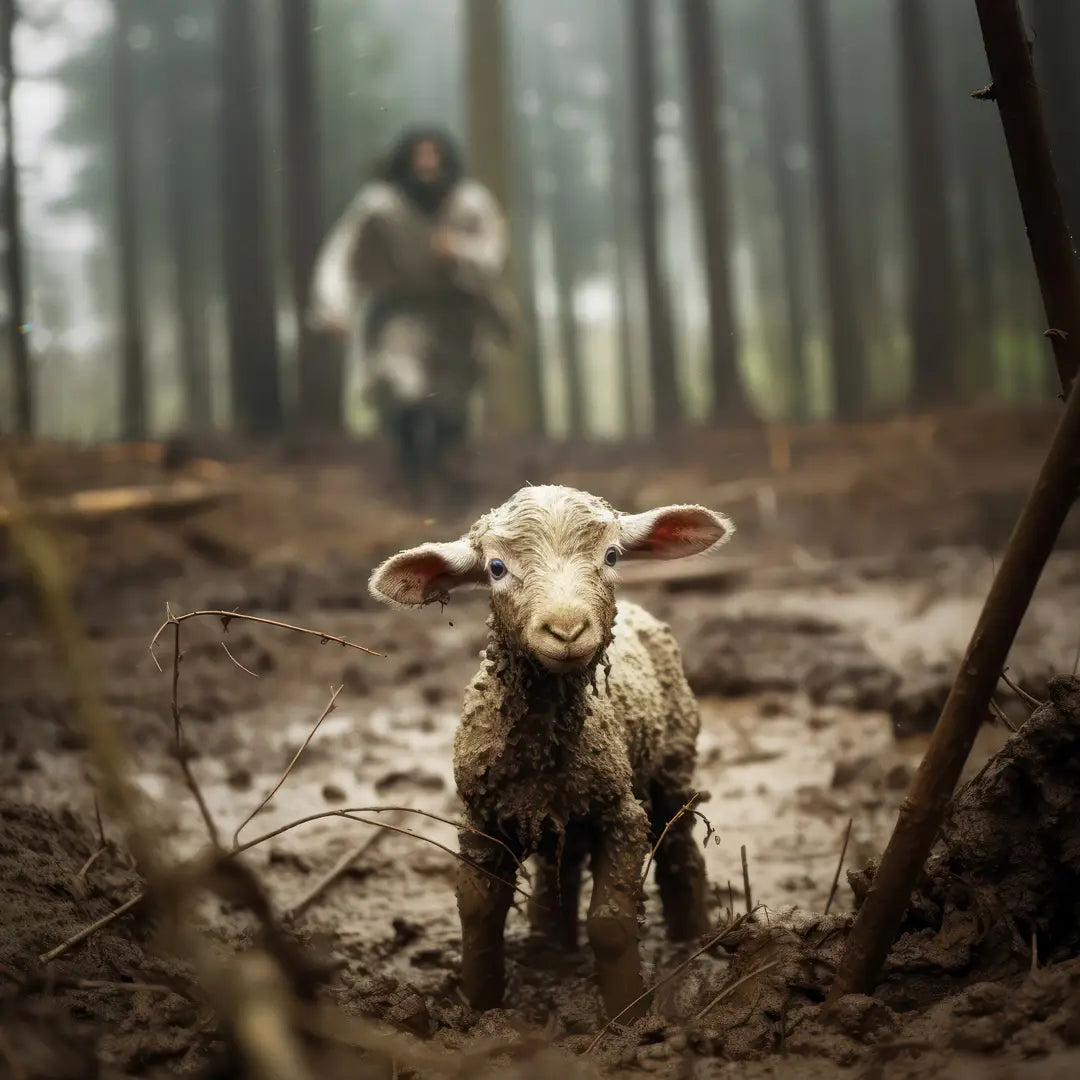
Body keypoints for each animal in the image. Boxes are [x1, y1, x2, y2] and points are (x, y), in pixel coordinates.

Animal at [368, 484, 733, 1019]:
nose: (566, 630)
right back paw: (551, 944)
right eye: (496, 568)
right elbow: (477, 910)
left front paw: (627, 1014)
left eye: (612, 555)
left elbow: (610, 923)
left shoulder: (621, 813)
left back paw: (694, 939)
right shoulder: (482, 817)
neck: (542, 747)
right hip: (559, 810)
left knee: (680, 845)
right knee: (560, 863)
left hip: (672, 762)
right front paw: (479, 1004)